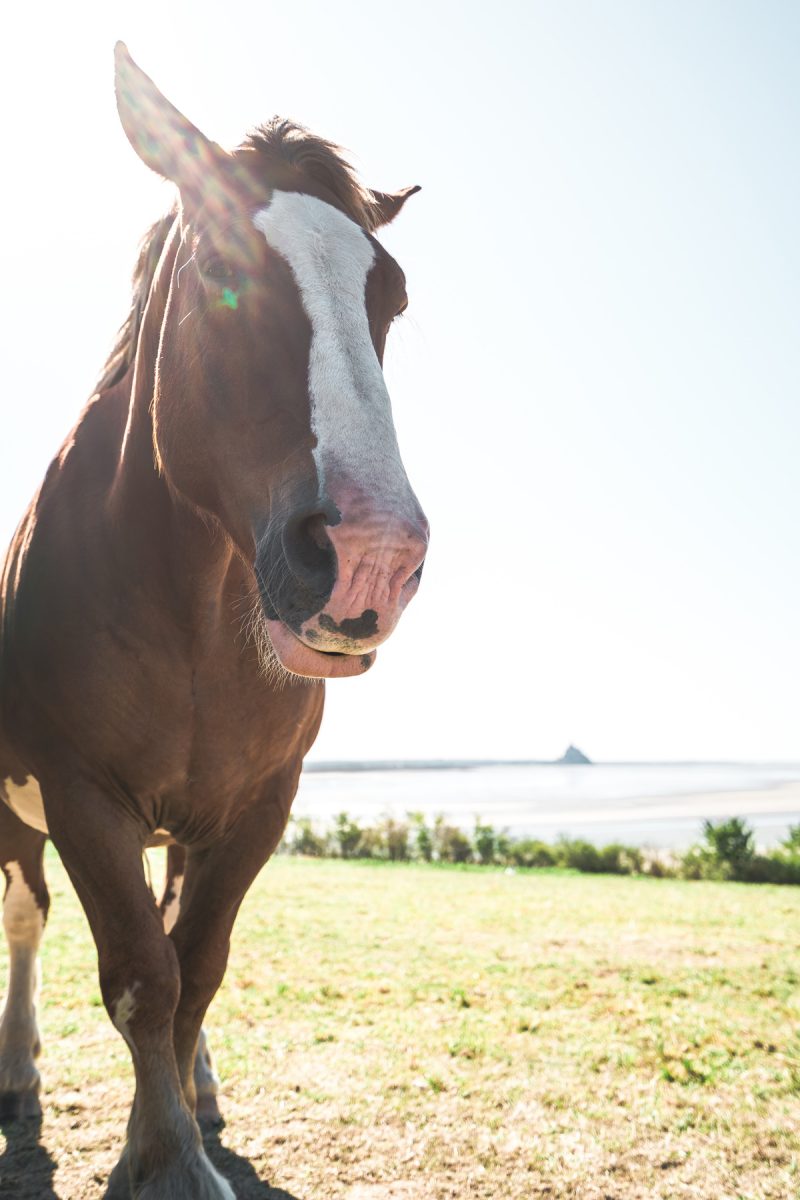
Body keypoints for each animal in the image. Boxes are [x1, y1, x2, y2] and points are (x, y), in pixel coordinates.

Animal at [0, 43, 427, 1199]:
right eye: (212, 277)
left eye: (390, 294)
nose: (373, 556)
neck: (189, 613)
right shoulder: (81, 794)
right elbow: (140, 975)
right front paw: (163, 1163)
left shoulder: (257, 808)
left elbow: (195, 967)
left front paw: (177, 1124)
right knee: (28, 918)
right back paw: (20, 1074)